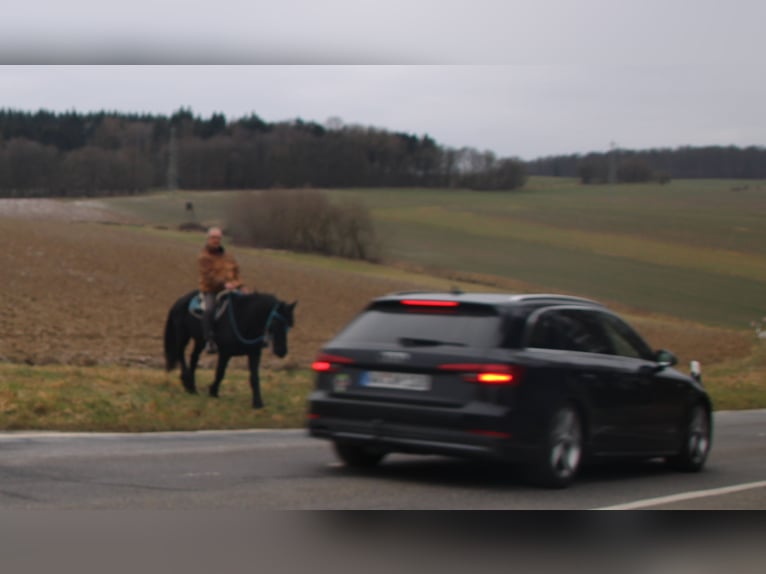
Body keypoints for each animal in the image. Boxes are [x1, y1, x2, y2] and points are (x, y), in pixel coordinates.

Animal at [165, 292, 296, 410]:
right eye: (276, 322)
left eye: (289, 325)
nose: (282, 351)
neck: (243, 319)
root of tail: (180, 301)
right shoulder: (225, 353)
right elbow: (220, 373)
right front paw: (213, 391)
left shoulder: (254, 354)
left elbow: (254, 377)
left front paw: (258, 403)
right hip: (183, 335)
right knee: (180, 353)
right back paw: (187, 381)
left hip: (199, 341)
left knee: (193, 358)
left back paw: (192, 388)